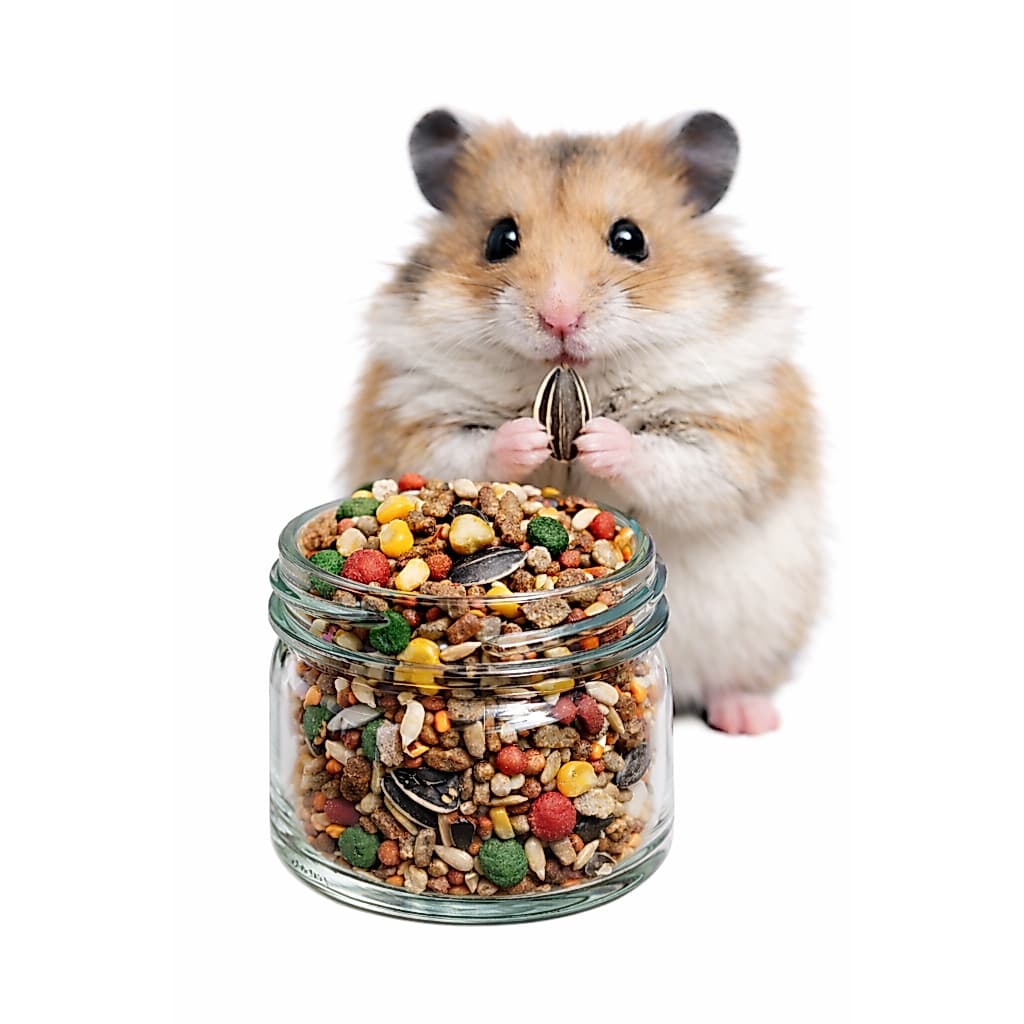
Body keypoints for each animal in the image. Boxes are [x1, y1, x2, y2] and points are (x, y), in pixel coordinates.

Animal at [346, 109, 823, 734]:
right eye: (500, 238)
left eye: (631, 239)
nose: (559, 319)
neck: (578, 376)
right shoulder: (417, 413)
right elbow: (467, 451)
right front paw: (529, 436)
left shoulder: (731, 428)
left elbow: (675, 463)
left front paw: (600, 439)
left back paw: (748, 717)